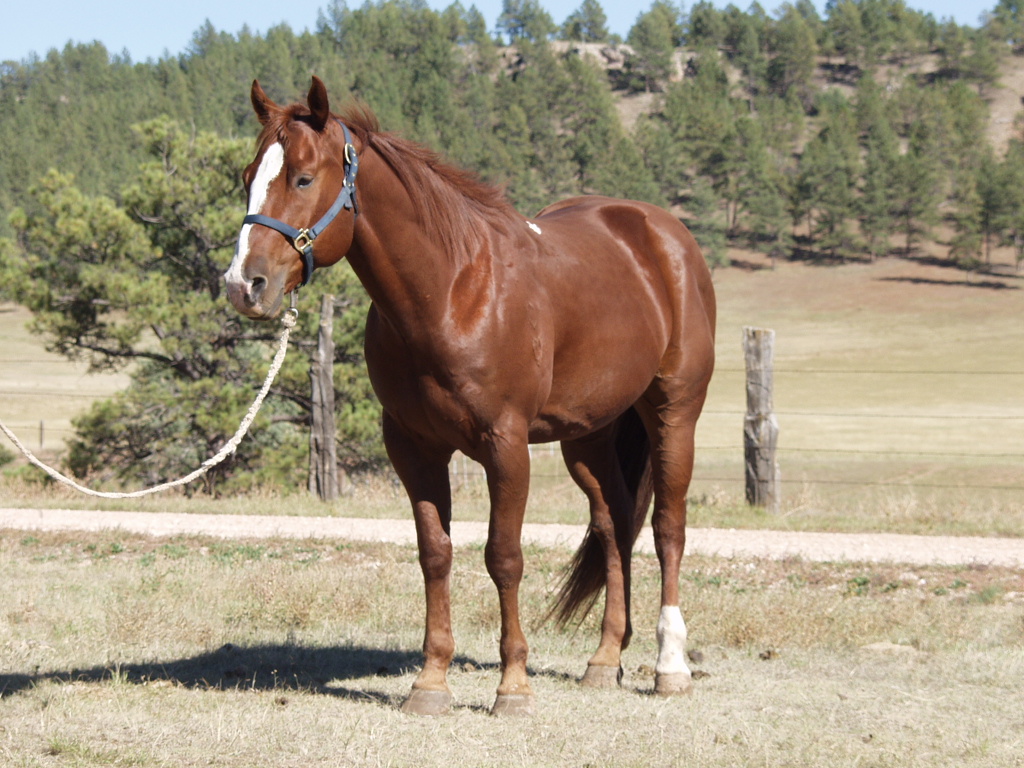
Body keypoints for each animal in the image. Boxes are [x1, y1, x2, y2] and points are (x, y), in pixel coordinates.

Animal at [225, 77, 716, 716]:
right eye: (247, 175)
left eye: (303, 178)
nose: (243, 284)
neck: (454, 289)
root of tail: (661, 234)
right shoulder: (414, 448)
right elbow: (435, 553)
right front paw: (431, 682)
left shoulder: (505, 445)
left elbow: (503, 557)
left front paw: (513, 685)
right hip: (588, 438)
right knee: (614, 525)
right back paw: (605, 660)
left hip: (673, 416)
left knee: (667, 529)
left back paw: (670, 666)